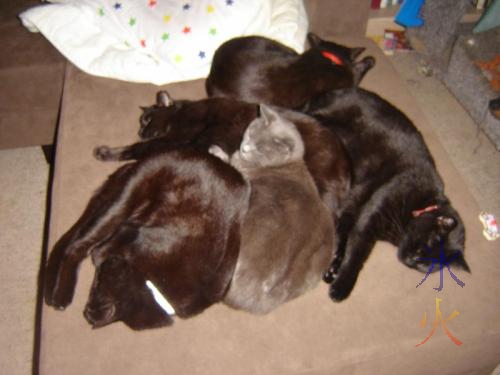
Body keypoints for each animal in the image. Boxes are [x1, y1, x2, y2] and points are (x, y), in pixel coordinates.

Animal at [45, 150, 250, 328]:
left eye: (96, 285)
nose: (86, 311)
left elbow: (100, 251)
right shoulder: (134, 233)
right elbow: (98, 250)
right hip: (125, 199)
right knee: (77, 246)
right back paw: (62, 294)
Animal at [209, 103, 334, 314]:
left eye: (260, 149)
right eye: (250, 132)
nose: (244, 147)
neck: (284, 164)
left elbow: (229, 160)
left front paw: (216, 150)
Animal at [304, 88, 468, 302]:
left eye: (425, 264)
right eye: (424, 245)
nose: (410, 259)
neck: (420, 203)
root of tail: (337, 90)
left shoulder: (354, 206)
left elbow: (343, 235)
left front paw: (334, 268)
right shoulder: (369, 220)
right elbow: (356, 256)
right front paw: (342, 287)